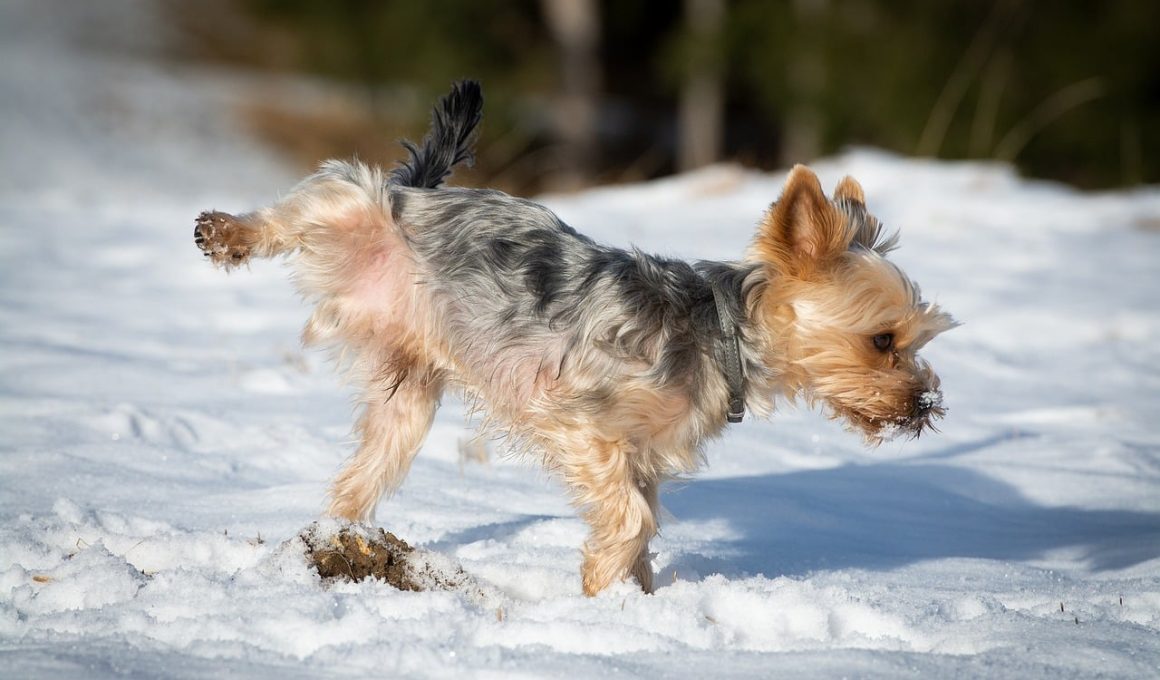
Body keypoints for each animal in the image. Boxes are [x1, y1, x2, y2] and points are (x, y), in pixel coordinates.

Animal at [194, 79, 955, 594]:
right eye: (883, 340)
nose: (924, 406)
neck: (723, 335)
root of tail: (422, 190)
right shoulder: (581, 422)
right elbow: (631, 519)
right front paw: (600, 587)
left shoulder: (643, 456)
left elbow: (641, 523)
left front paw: (632, 605)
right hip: (358, 206)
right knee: (315, 197)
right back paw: (227, 232)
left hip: (407, 398)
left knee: (363, 472)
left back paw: (336, 537)